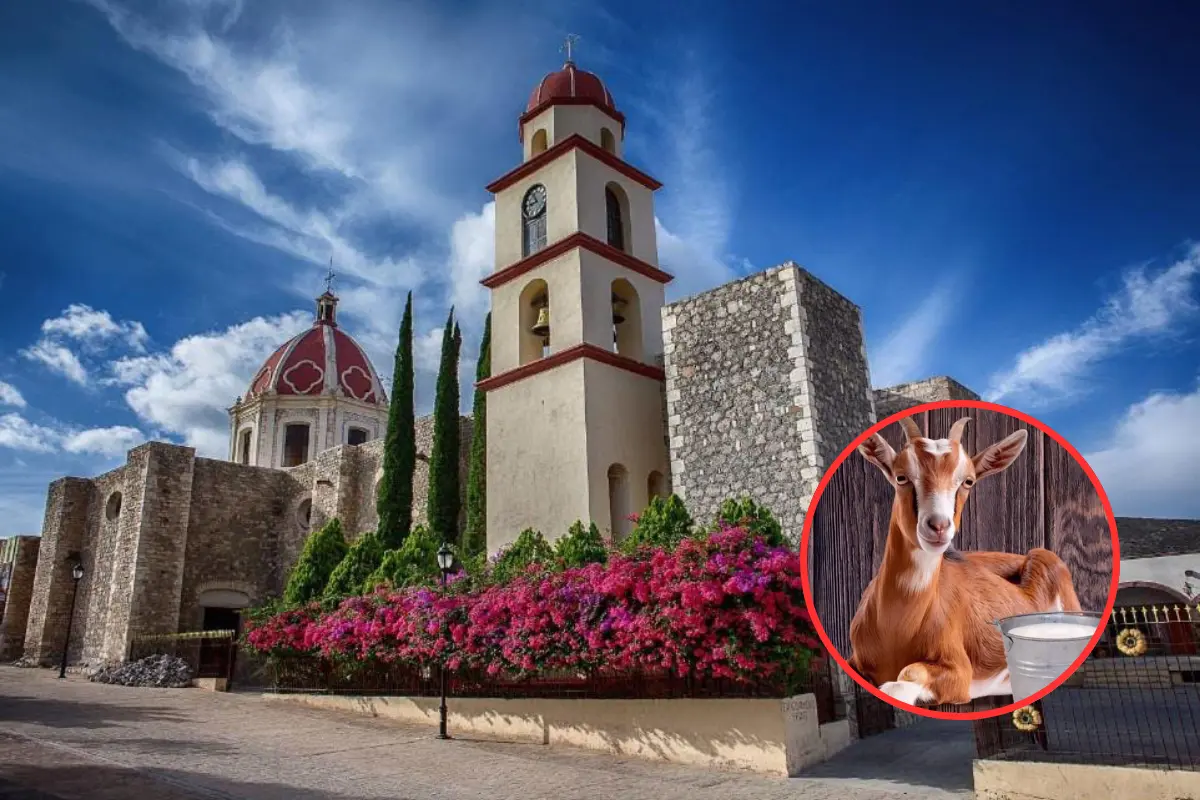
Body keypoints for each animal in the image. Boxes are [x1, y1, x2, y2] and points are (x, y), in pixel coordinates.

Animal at [849, 417, 1084, 705]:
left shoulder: (959, 673)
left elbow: (907, 676)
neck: (897, 630)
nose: (938, 526)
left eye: (968, 481)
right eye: (901, 477)